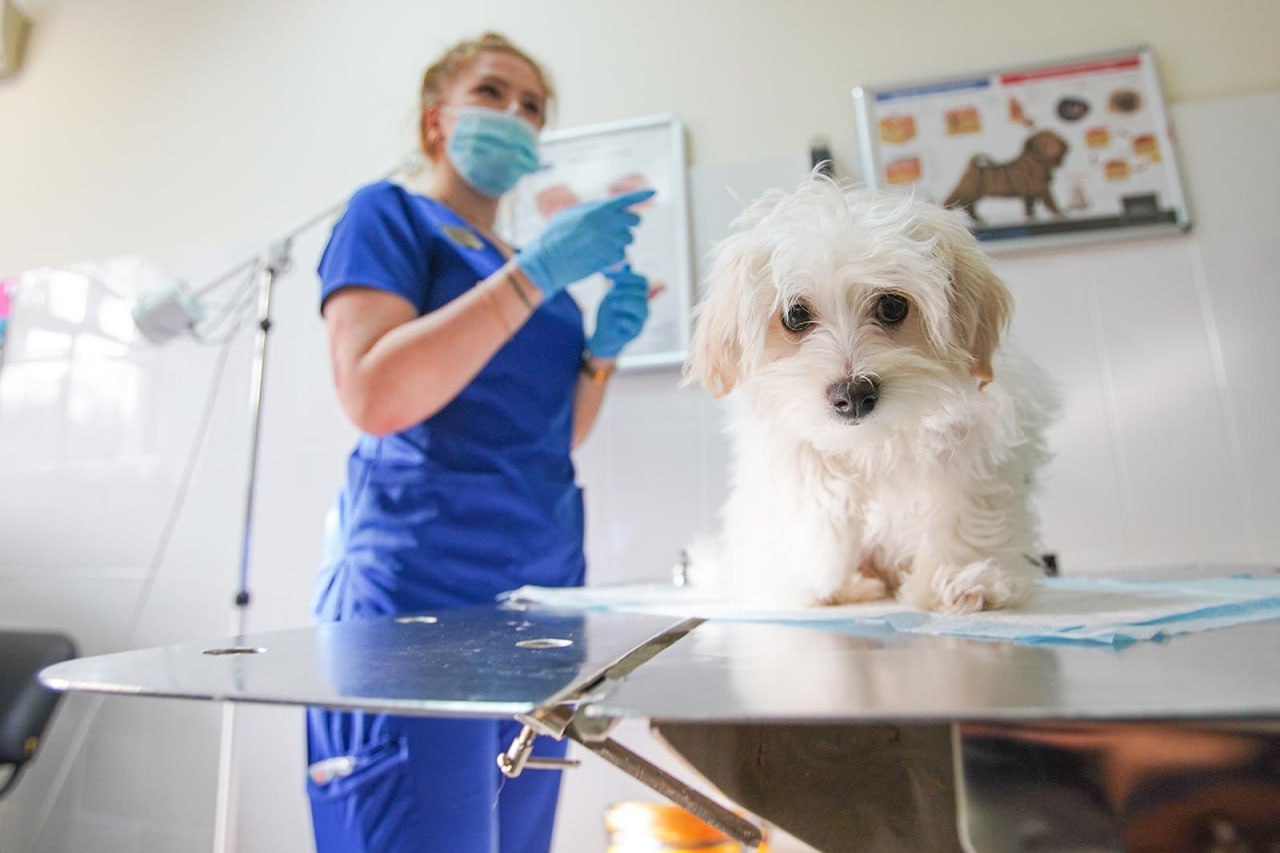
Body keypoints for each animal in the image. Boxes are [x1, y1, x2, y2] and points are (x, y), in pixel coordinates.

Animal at [686, 174, 1054, 612]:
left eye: (893, 305)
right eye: (795, 315)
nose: (853, 393)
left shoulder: (977, 435)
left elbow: (964, 501)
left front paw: (963, 578)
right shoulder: (784, 444)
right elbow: (816, 494)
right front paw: (814, 576)